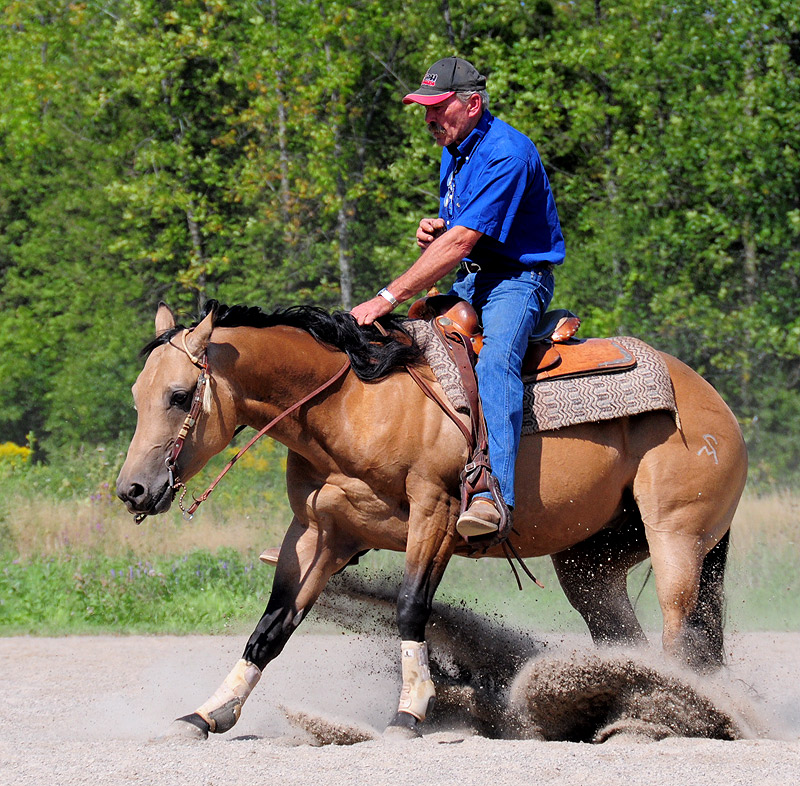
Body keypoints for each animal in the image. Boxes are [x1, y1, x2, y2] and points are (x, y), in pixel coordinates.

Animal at [115, 298, 748, 736]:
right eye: (137, 395)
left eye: (178, 395)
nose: (133, 490)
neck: (354, 403)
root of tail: (711, 400)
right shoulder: (319, 532)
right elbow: (271, 627)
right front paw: (209, 712)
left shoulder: (436, 515)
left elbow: (410, 607)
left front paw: (410, 712)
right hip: (592, 563)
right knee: (625, 637)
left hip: (676, 539)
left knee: (678, 635)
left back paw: (671, 714)